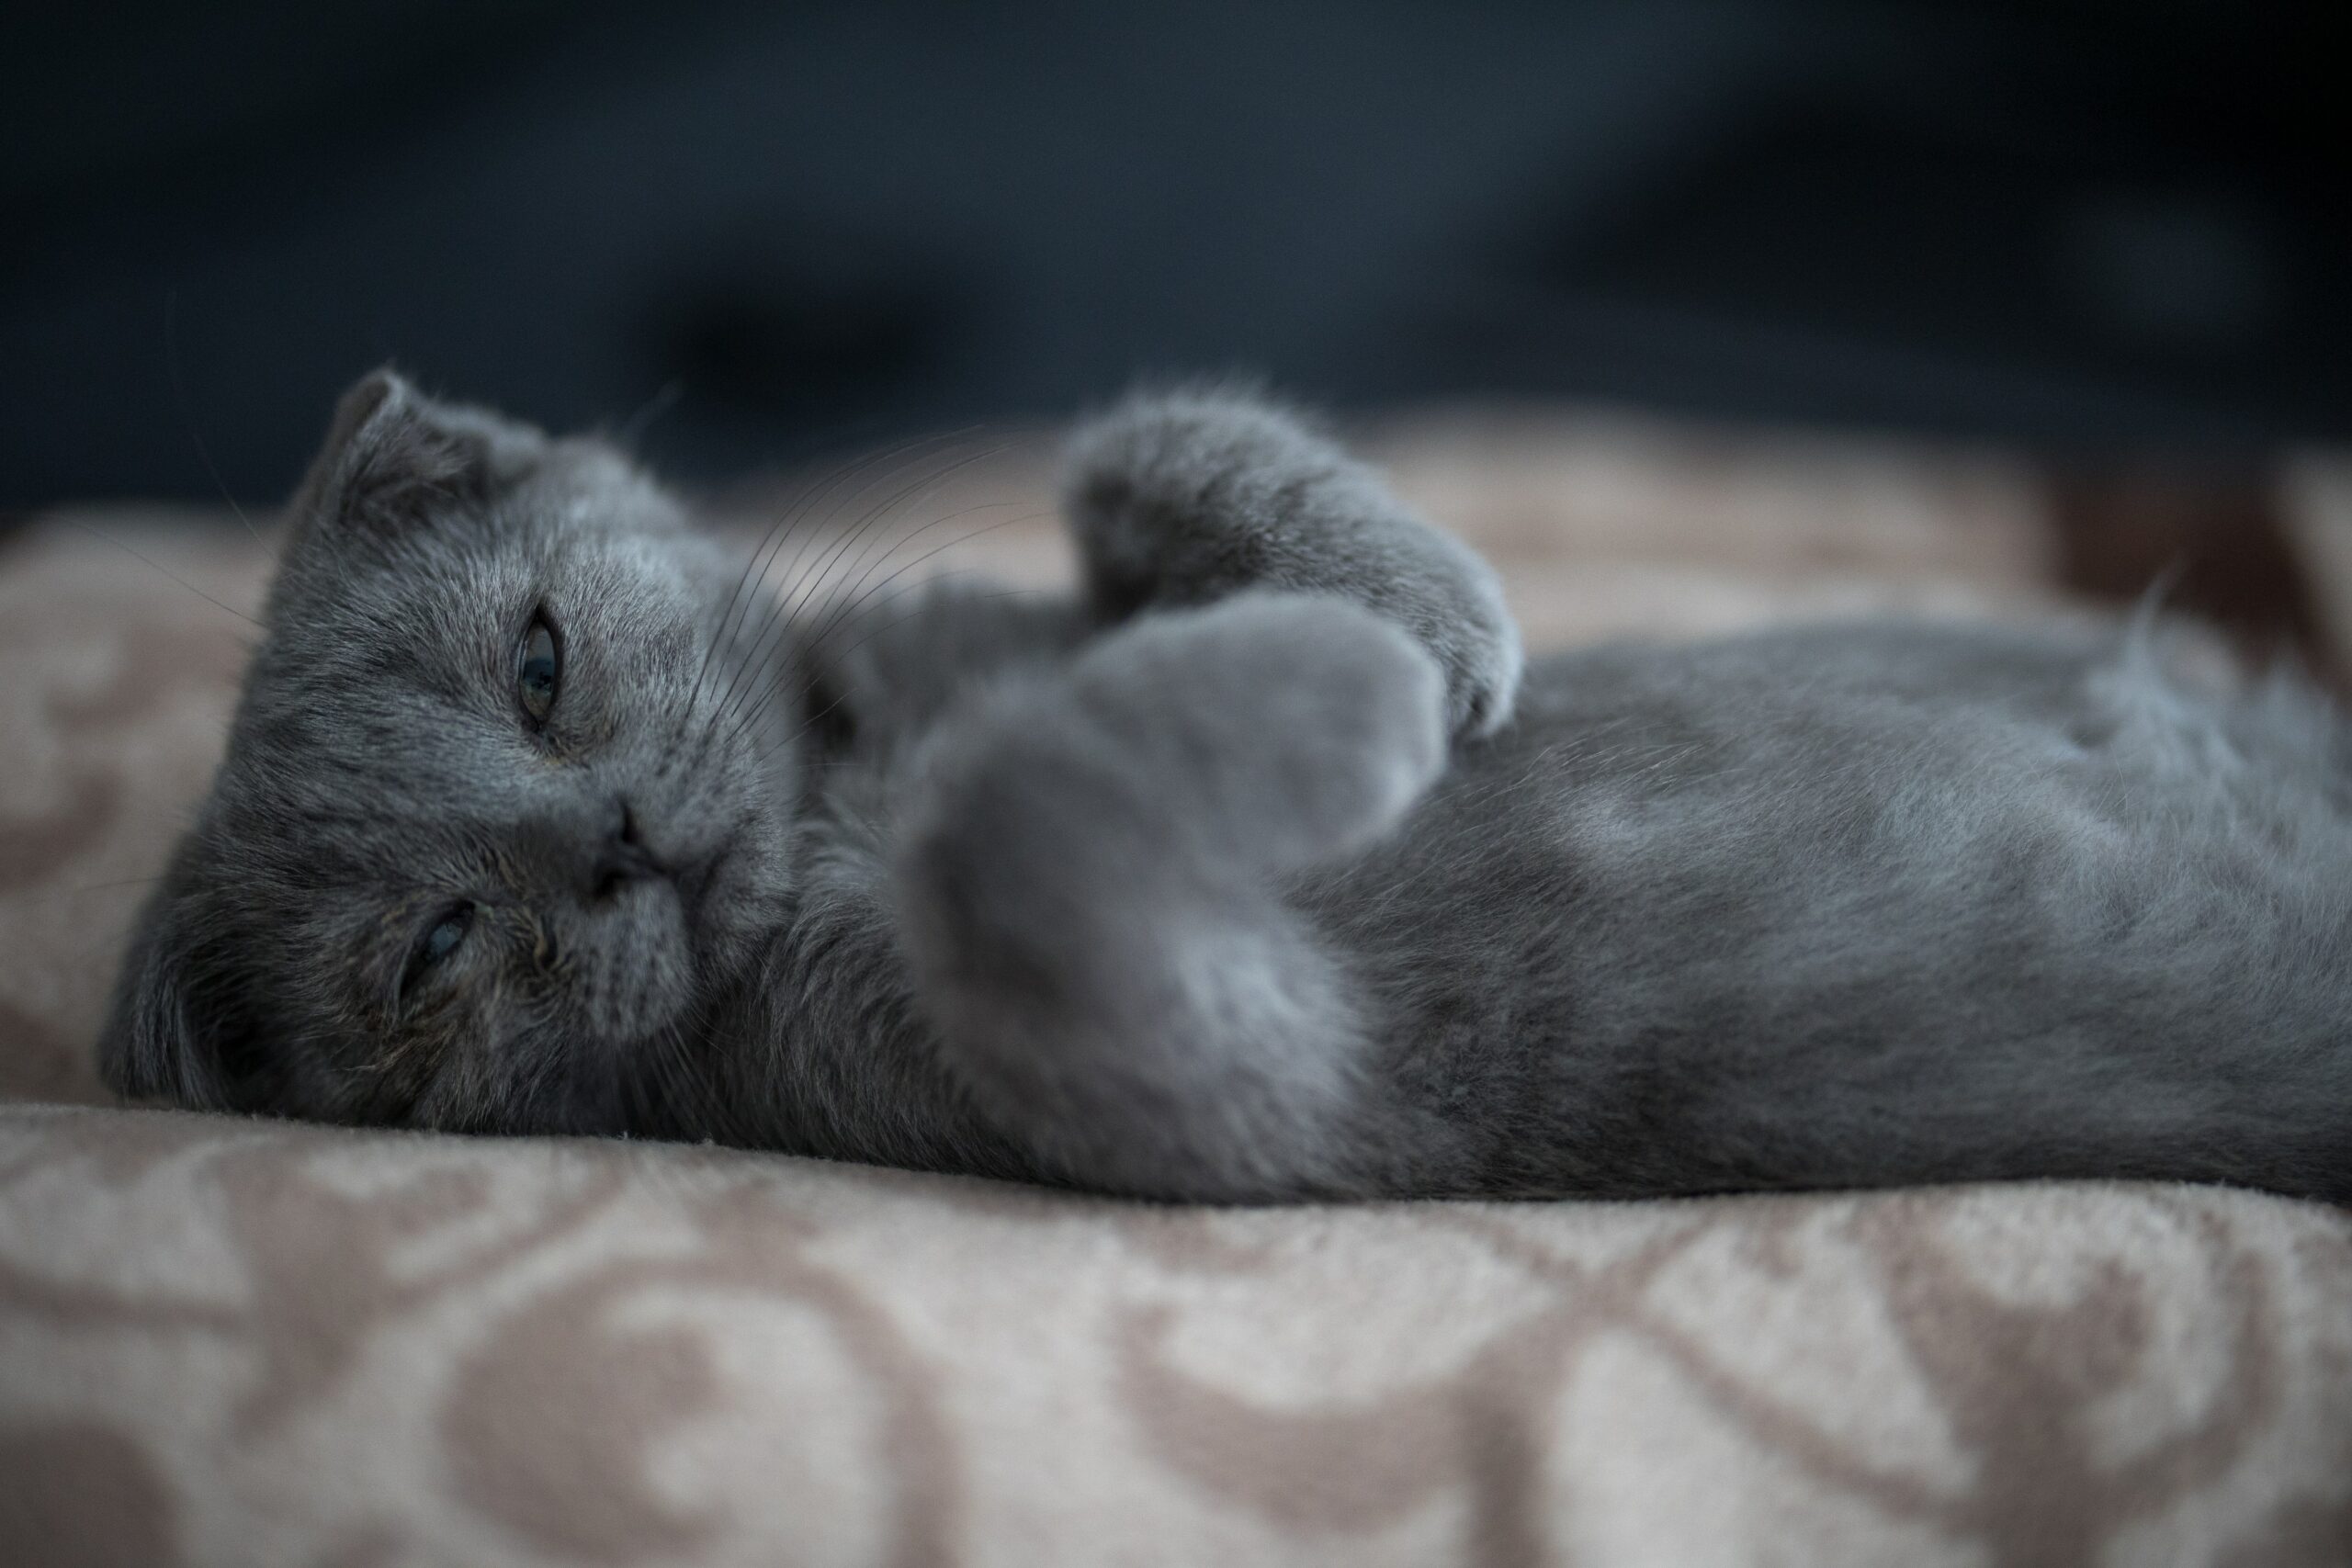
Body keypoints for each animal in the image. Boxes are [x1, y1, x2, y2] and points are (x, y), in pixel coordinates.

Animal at [101, 371, 2352, 1203]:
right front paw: (1362, 684)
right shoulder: (1213, 1068)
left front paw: (1432, 616)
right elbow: (1015, 831)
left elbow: (1131, 444)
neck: (853, 771)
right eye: (436, 946)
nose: (613, 842)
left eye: (542, 663)